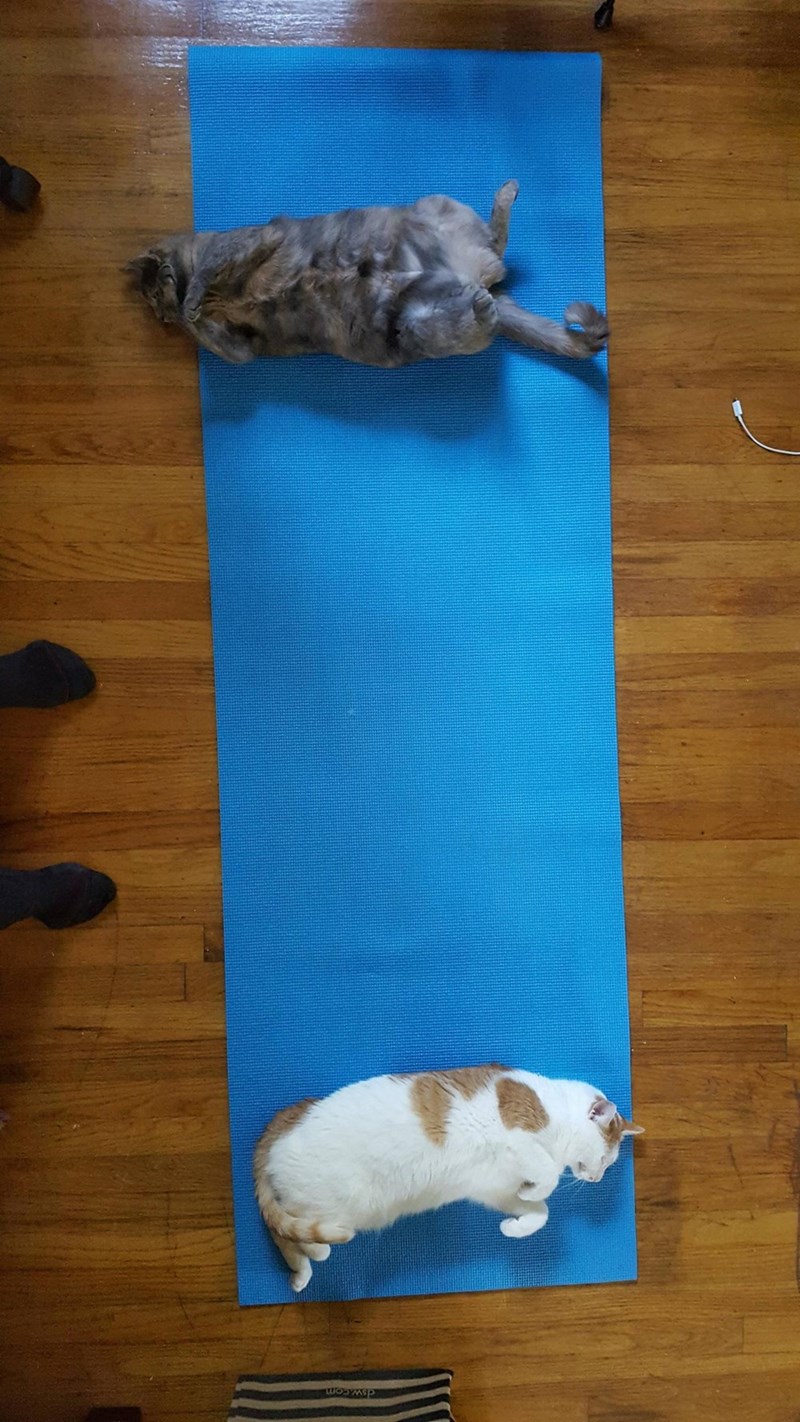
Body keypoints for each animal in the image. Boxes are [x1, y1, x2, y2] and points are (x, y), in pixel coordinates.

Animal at [130, 180, 608, 369]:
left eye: (153, 293)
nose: (160, 310)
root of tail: (473, 278)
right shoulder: (239, 349)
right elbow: (213, 332)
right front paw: (193, 311)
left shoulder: (251, 240)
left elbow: (211, 272)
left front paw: (192, 300)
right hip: (414, 326)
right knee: (477, 311)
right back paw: (480, 306)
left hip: (437, 209)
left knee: (497, 241)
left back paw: (507, 193)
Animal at [257, 1069, 645, 1291]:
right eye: (606, 1159)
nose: (596, 1179)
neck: (555, 1108)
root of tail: (283, 1121)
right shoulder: (518, 1137)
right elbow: (548, 1174)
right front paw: (533, 1188)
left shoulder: (492, 1188)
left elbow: (542, 1212)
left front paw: (515, 1225)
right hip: (331, 1204)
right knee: (285, 1231)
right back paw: (315, 1254)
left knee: (287, 1232)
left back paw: (302, 1272)